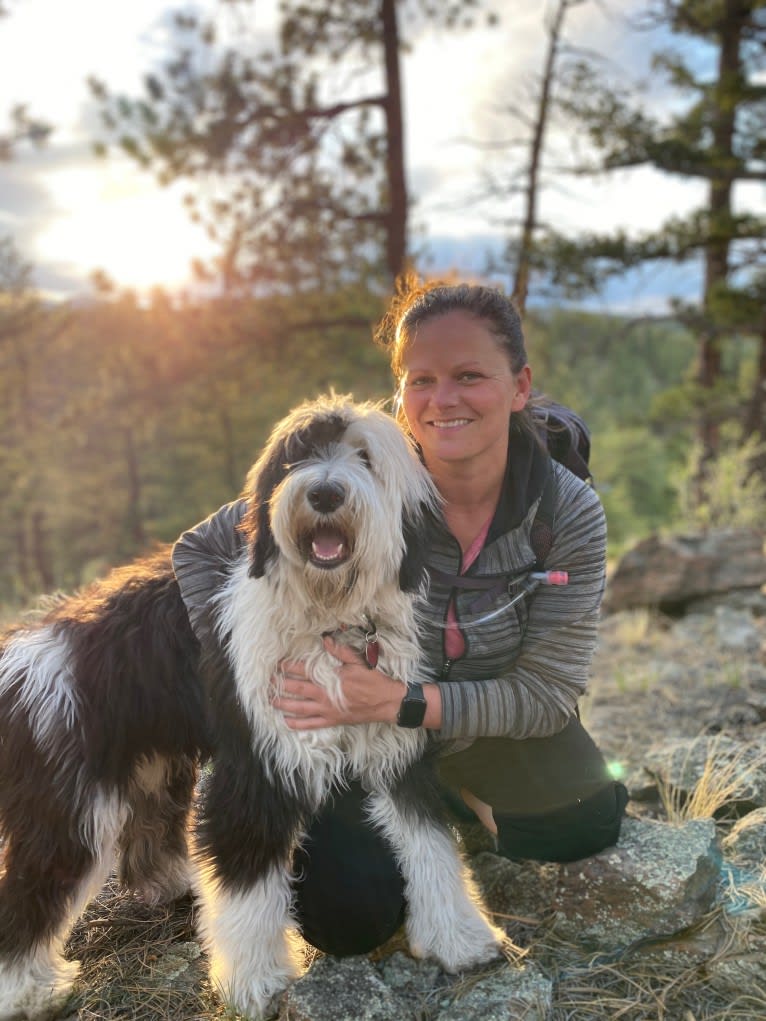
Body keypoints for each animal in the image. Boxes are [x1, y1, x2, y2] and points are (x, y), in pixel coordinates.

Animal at [0, 396, 506, 1021]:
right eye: (296, 457)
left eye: (364, 457)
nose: (325, 493)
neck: (329, 616)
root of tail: (27, 649)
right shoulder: (258, 765)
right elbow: (248, 883)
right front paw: (257, 981)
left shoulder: (394, 752)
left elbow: (430, 845)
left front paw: (461, 939)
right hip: (71, 802)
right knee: (35, 886)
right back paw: (26, 988)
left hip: (153, 763)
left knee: (147, 832)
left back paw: (170, 881)